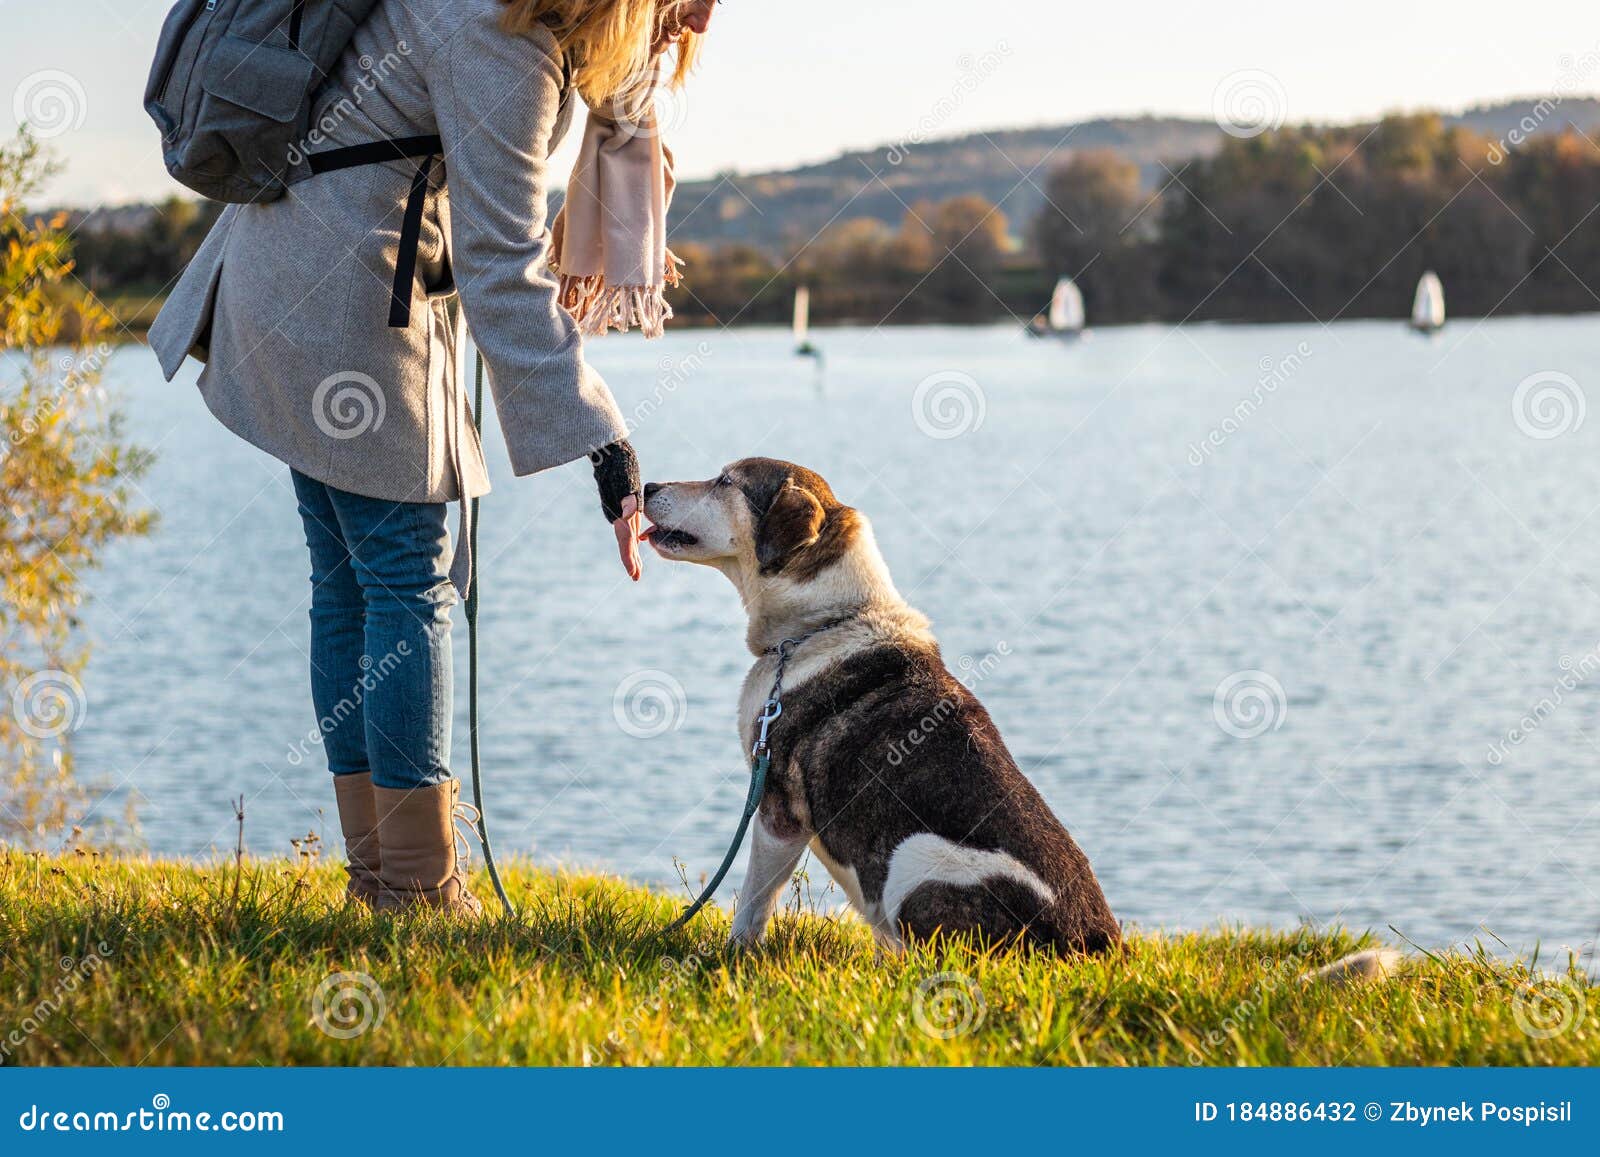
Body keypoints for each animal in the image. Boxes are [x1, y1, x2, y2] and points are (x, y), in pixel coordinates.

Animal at [643, 457, 1120, 953]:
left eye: (725, 482)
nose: (647, 486)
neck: (825, 622)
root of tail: (1097, 944)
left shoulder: (778, 810)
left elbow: (754, 901)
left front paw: (731, 956)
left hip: (912, 855)